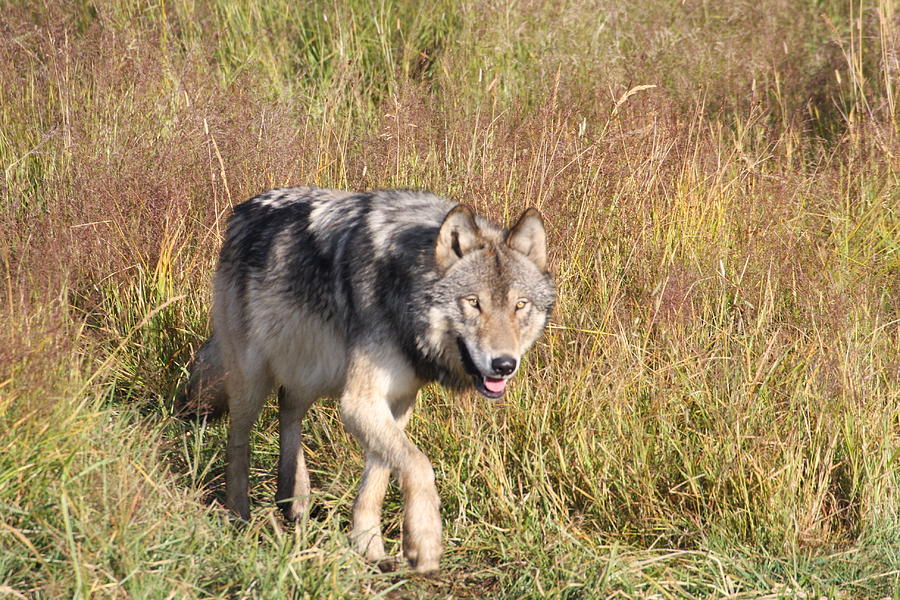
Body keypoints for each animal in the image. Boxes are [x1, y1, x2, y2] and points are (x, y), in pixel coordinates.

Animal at [186, 186, 556, 572]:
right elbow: (419, 465)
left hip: (309, 368)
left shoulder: (398, 402)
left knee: (288, 409)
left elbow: (377, 482)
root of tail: (244, 209)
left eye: (520, 305)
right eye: (473, 302)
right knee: (238, 440)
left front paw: (370, 548)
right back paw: (239, 515)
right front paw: (424, 543)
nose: (504, 365)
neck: (402, 287)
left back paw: (295, 497)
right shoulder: (360, 402)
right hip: (251, 379)